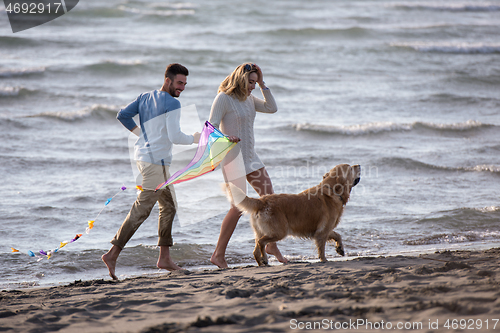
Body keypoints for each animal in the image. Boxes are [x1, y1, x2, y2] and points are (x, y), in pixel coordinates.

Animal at [226, 162, 360, 266]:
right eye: (350, 168)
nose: (359, 165)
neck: (332, 190)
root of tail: (262, 200)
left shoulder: (324, 229)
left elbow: (338, 235)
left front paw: (340, 249)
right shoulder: (322, 231)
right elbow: (322, 248)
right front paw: (324, 260)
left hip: (260, 231)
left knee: (255, 250)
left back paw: (261, 263)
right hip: (280, 231)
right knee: (261, 242)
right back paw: (265, 259)